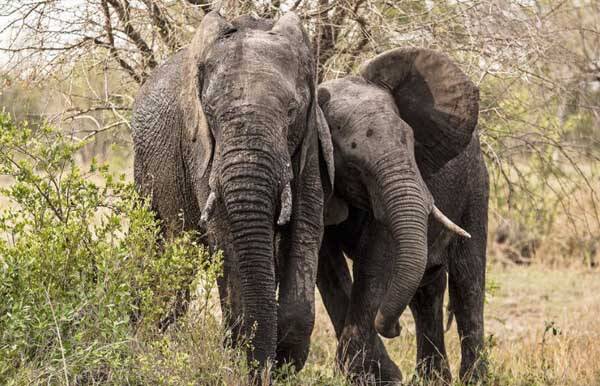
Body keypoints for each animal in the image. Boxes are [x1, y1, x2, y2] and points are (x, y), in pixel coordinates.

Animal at [131, 12, 336, 374]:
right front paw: (245, 353)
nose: (263, 370)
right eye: (210, 111)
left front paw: (284, 362)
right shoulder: (200, 149)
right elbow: (225, 234)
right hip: (144, 169)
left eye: (291, 111)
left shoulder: (310, 144)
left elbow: (307, 227)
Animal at [316, 48, 490, 382]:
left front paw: (364, 374)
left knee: (468, 283)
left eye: (411, 142)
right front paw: (369, 374)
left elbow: (376, 261)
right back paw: (433, 379)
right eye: (352, 164)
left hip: (476, 187)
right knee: (427, 289)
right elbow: (327, 263)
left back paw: (473, 379)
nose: (394, 328)